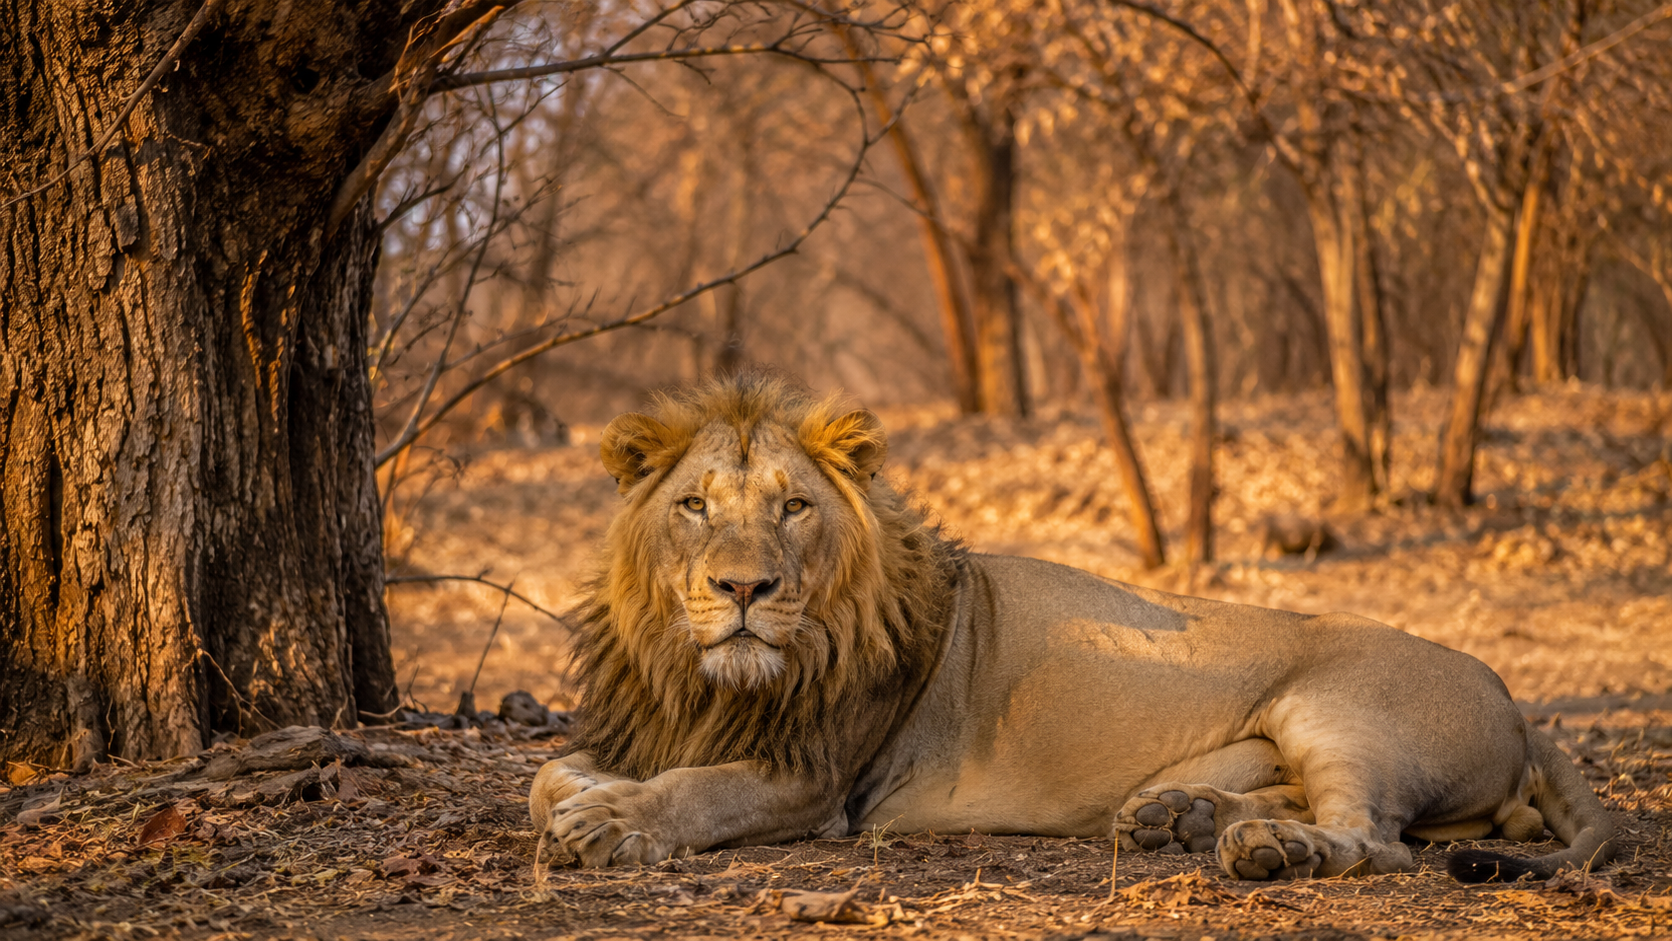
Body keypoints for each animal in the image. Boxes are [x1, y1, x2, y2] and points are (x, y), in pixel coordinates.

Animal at [529, 374, 1616, 883]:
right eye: (695, 506)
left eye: (794, 507)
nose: (743, 586)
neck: (699, 673)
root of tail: (1516, 699)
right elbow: (547, 772)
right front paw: (581, 795)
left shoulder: (813, 775)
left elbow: (697, 789)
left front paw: (615, 821)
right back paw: (1181, 818)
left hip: (1336, 705)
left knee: (1376, 840)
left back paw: (1265, 848)